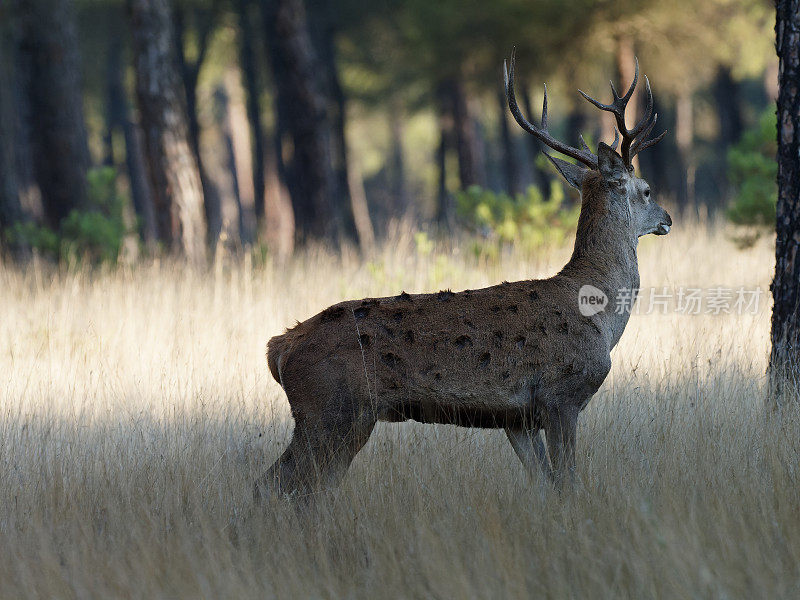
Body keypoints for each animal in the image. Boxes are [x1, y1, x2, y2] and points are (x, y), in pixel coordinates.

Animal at [255, 52, 668, 502]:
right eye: (646, 189)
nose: (666, 218)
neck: (600, 315)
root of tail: (278, 348)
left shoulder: (518, 419)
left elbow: (544, 483)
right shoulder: (562, 394)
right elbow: (567, 482)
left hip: (337, 417)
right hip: (331, 410)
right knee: (276, 482)